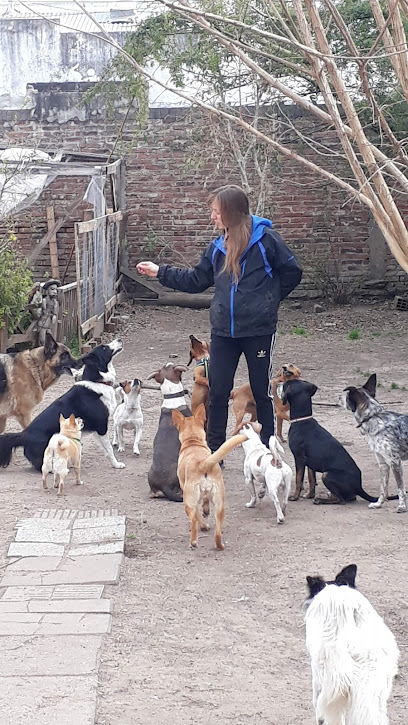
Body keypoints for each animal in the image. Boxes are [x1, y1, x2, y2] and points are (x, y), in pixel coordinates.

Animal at [171, 404, 245, 552]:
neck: (193, 442)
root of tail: (203, 464)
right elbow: (204, 504)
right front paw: (205, 511)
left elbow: (198, 515)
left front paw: (204, 525)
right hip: (220, 504)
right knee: (218, 532)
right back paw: (219, 545)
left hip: (188, 501)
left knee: (194, 519)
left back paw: (194, 541)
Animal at [342, 374, 406, 516]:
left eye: (346, 396)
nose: (338, 397)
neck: (373, 417)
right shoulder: (383, 464)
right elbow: (383, 488)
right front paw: (378, 504)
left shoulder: (395, 462)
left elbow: (400, 489)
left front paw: (402, 506)